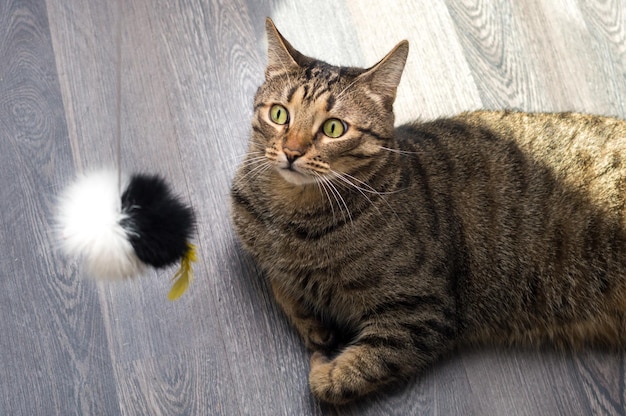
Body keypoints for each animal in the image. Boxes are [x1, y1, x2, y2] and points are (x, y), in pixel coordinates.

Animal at [229, 17, 624, 404]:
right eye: (279, 114)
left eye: (334, 128)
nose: (291, 151)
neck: (291, 215)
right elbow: (278, 280)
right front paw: (312, 322)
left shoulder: (422, 313)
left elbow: (346, 377)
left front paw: (323, 367)